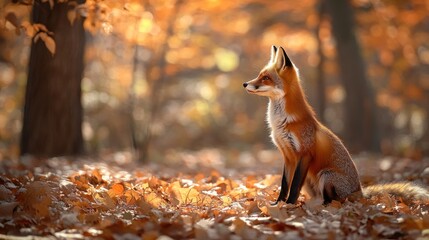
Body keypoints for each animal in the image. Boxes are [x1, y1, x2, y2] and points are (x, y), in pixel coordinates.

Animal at [242, 45, 426, 204]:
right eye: (259, 75)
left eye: (266, 78)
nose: (245, 84)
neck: (282, 123)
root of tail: (359, 191)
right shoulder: (288, 156)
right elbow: (285, 184)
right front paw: (278, 204)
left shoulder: (304, 153)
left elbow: (294, 186)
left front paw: (289, 205)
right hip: (310, 180)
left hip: (326, 175)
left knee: (335, 201)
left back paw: (324, 206)